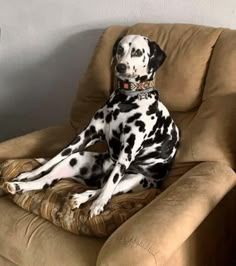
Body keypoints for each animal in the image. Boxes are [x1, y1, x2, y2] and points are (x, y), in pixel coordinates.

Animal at [4, 34, 179, 217]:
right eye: (120, 49)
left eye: (137, 52)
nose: (121, 66)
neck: (126, 100)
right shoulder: (84, 137)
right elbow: (54, 158)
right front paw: (30, 173)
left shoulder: (127, 152)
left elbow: (110, 184)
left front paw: (98, 204)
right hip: (74, 159)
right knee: (46, 181)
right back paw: (19, 185)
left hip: (132, 180)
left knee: (102, 188)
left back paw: (84, 199)